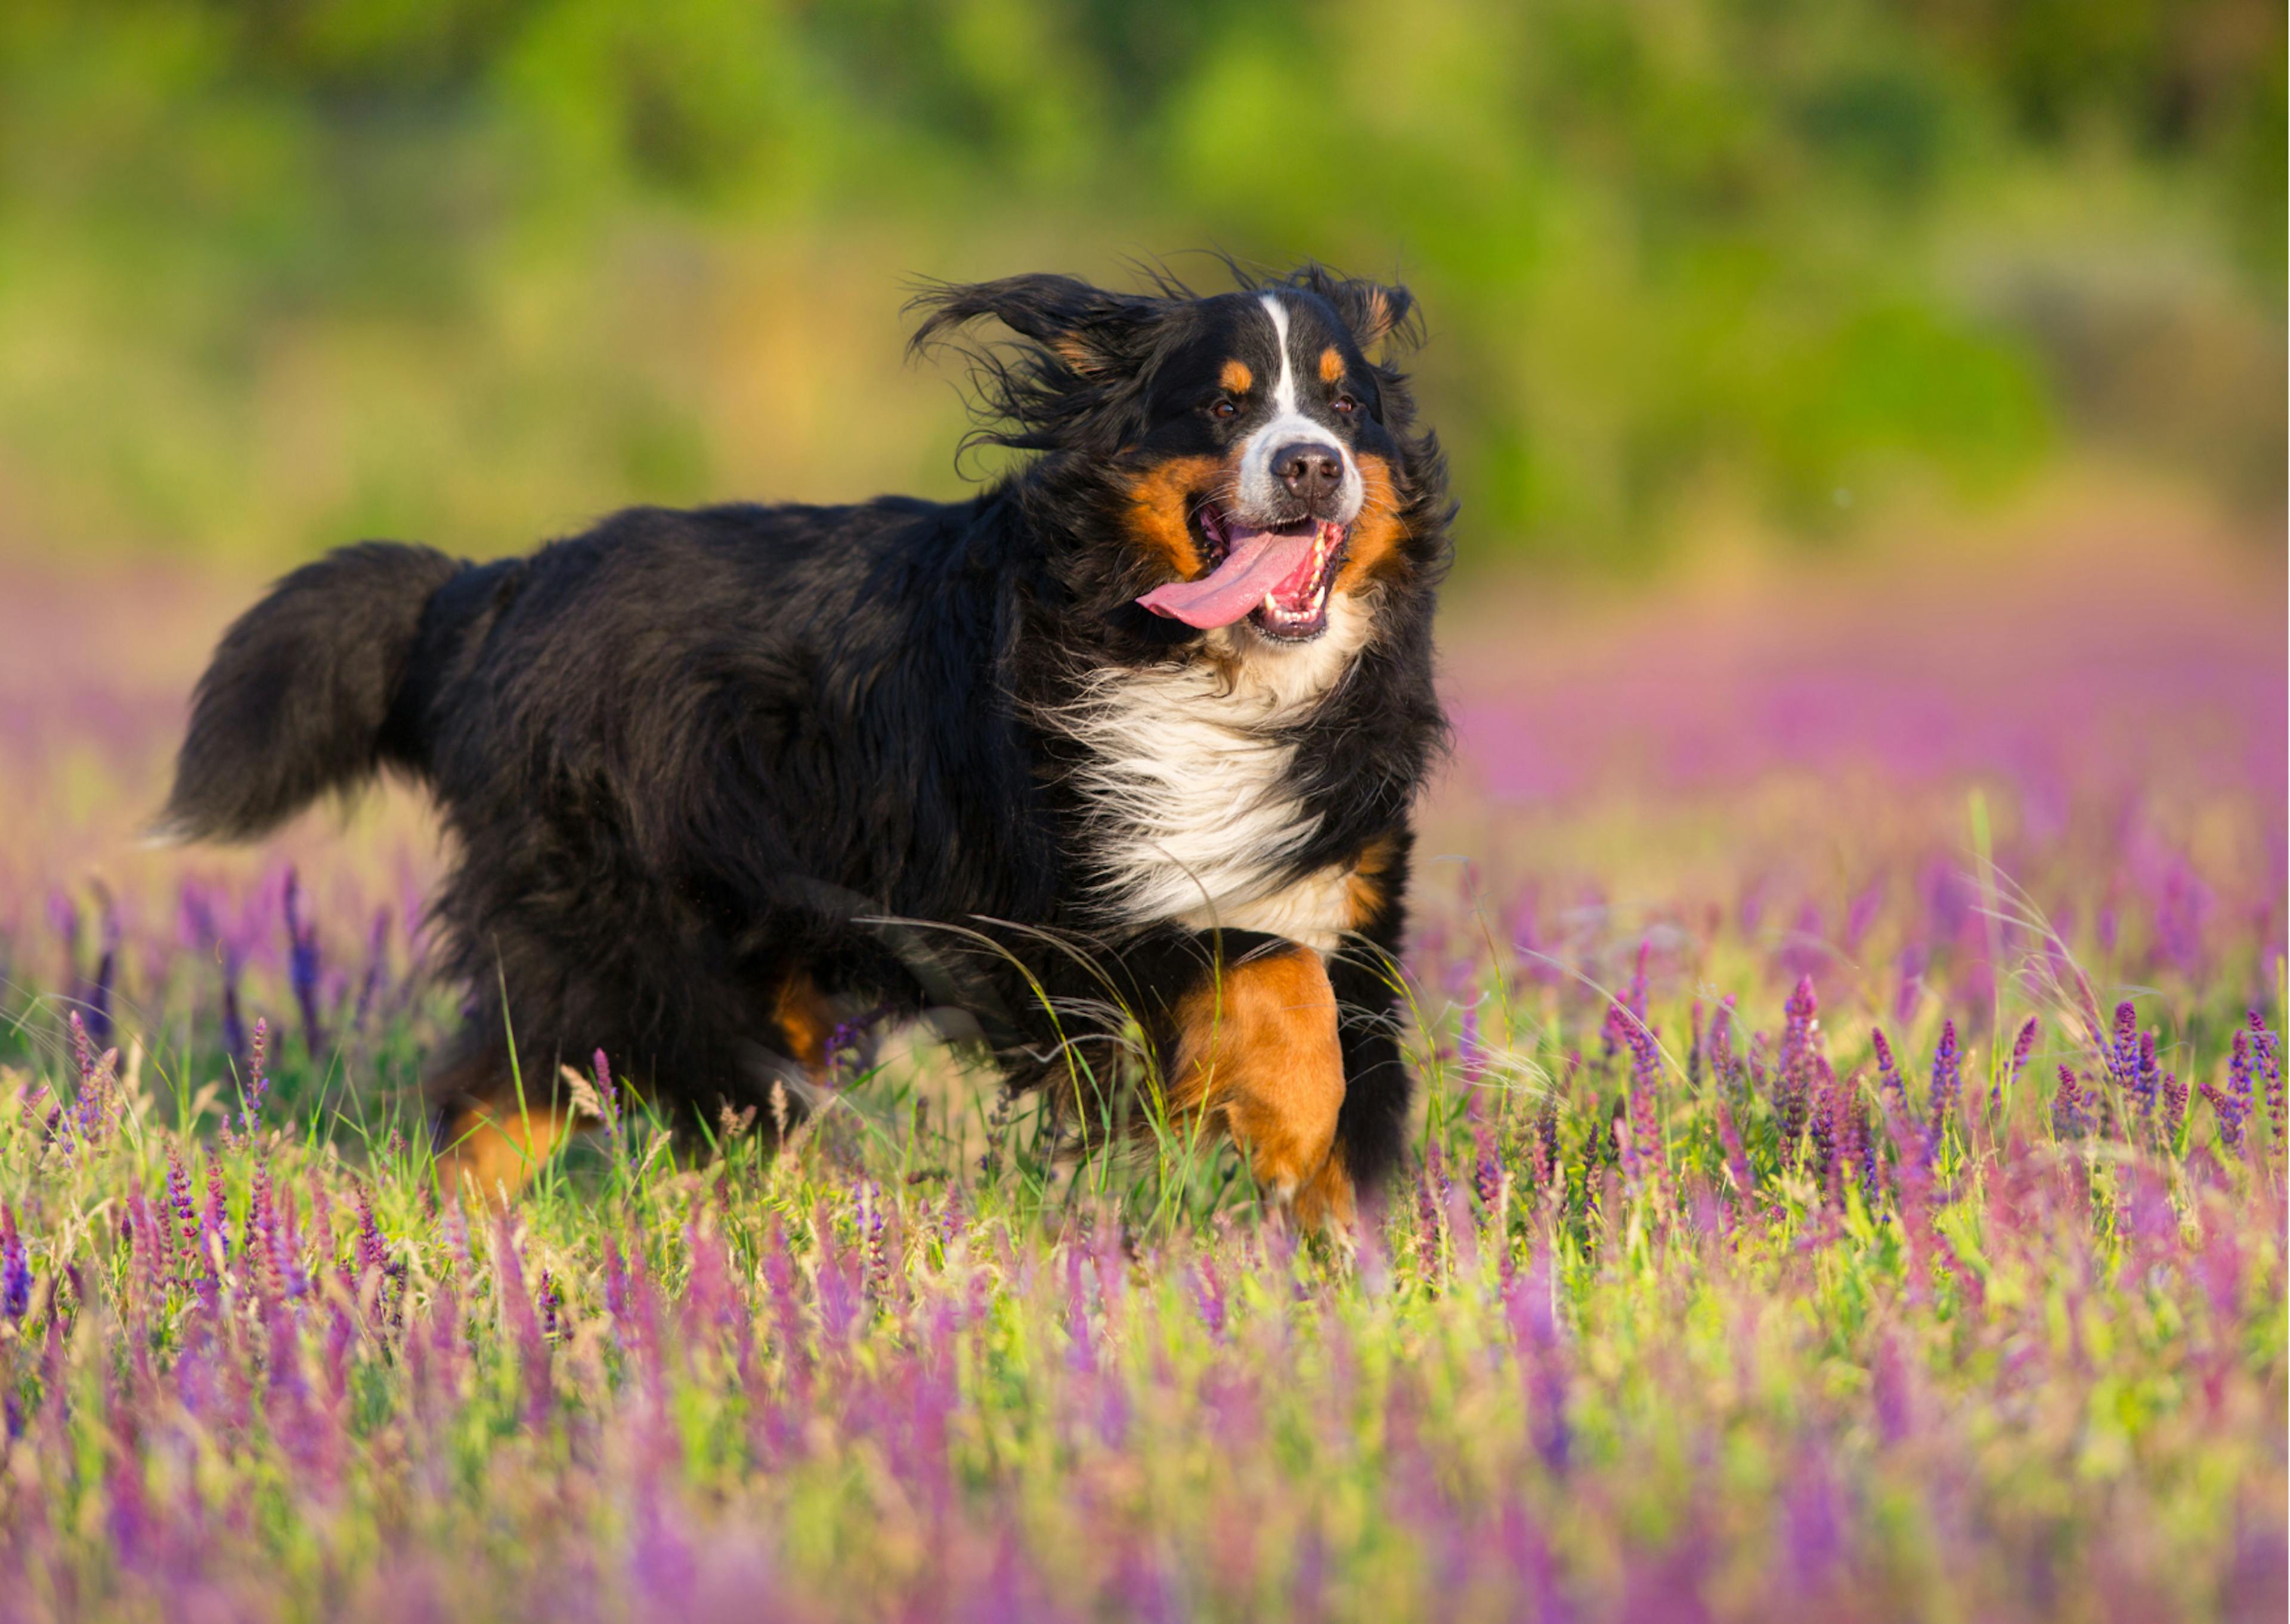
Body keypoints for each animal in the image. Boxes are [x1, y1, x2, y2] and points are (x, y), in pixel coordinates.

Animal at [161, 260, 1447, 1218]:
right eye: (1225, 403)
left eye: (1347, 404)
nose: (1312, 463)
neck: (1214, 676)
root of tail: (499, 585)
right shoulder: (1067, 918)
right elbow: (1261, 967)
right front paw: (1285, 1126)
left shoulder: (1347, 898)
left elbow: (1337, 1051)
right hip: (626, 941)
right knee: (550, 1089)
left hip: (728, 960)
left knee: (540, 1097)